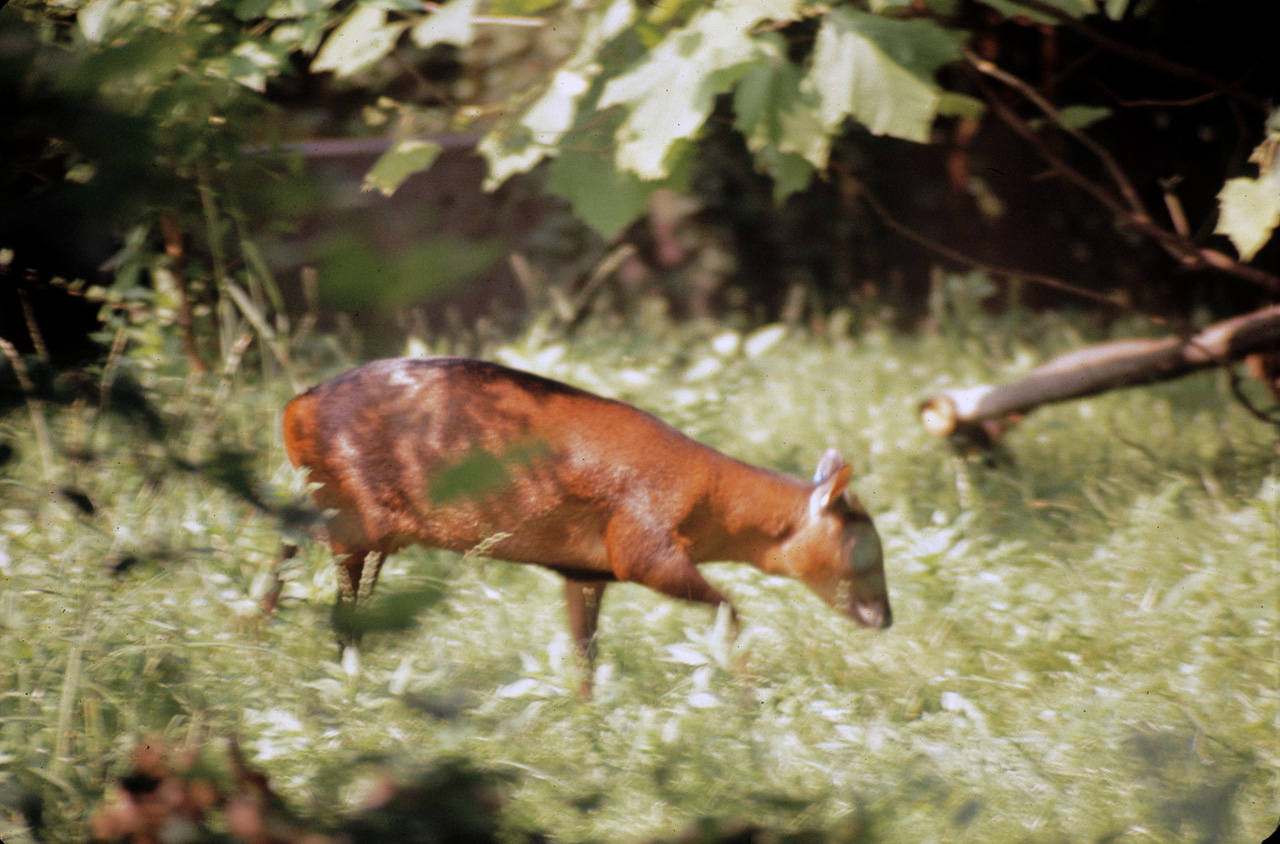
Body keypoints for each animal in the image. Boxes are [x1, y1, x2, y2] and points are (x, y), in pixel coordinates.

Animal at [282, 361, 890, 696]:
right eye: (866, 552)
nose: (885, 617)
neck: (710, 506)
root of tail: (293, 410)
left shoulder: (584, 569)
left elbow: (585, 656)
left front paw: (589, 728)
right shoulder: (641, 549)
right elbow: (730, 609)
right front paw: (746, 699)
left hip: (347, 518)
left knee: (288, 551)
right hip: (355, 519)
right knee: (334, 601)